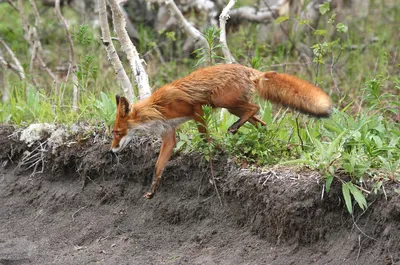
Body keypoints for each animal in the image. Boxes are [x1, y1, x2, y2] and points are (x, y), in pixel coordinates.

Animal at [111, 63, 332, 197]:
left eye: (116, 132)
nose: (111, 150)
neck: (156, 108)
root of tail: (249, 70)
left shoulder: (195, 109)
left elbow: (204, 136)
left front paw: (213, 150)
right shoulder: (169, 136)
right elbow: (158, 167)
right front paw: (152, 190)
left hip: (221, 101)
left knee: (255, 108)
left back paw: (235, 129)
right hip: (232, 107)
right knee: (261, 122)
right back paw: (260, 137)